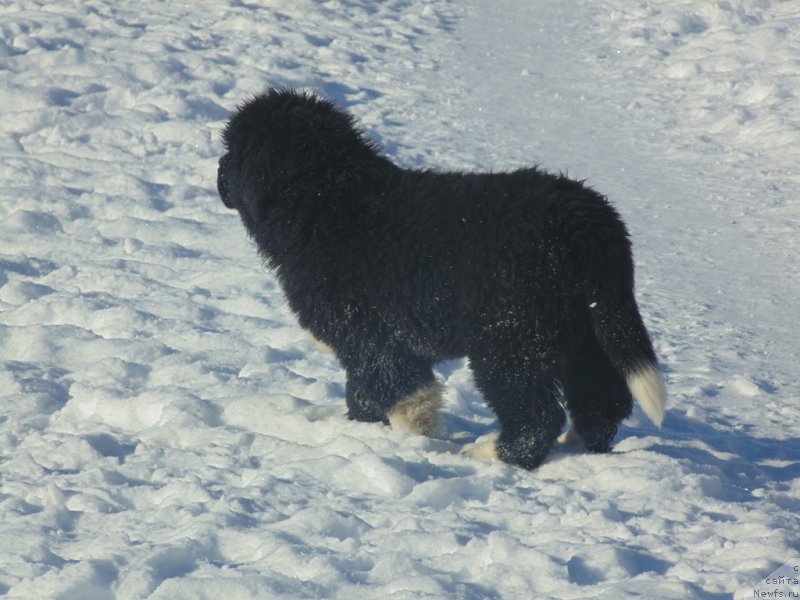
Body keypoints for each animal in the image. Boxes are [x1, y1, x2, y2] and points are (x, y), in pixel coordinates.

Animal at [216, 89, 664, 472]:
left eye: (229, 150)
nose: (217, 172)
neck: (327, 201)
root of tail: (585, 220)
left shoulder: (372, 337)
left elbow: (396, 392)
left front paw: (410, 440)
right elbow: (367, 390)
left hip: (508, 337)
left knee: (536, 415)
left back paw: (492, 453)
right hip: (586, 327)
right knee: (603, 397)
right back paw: (577, 446)